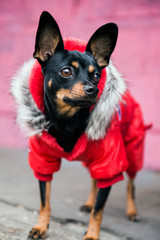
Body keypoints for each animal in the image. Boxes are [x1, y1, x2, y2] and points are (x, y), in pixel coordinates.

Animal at [11, 10, 146, 240]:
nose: (93, 89)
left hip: (132, 150)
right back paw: (89, 202)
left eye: (97, 75)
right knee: (94, 179)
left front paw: (91, 234)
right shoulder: (43, 161)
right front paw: (41, 227)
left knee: (130, 184)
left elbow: (99, 211)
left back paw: (132, 211)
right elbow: (44, 201)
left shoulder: (109, 163)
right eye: (66, 72)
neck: (67, 121)